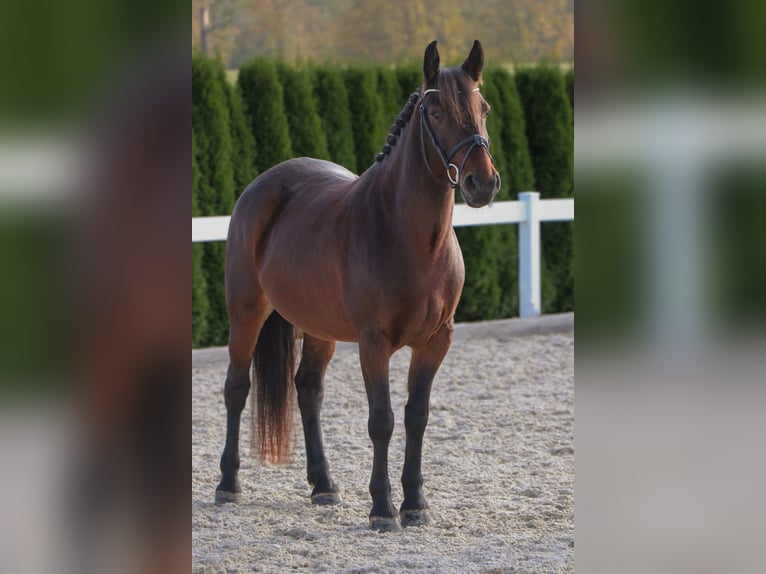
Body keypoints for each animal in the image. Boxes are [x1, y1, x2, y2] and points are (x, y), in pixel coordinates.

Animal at [218, 40, 504, 532]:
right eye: (436, 111)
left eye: (483, 108)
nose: (481, 183)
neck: (409, 237)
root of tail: (262, 185)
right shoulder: (374, 343)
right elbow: (381, 421)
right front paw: (383, 509)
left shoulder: (437, 341)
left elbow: (416, 417)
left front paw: (415, 504)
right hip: (247, 313)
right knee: (237, 388)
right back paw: (227, 484)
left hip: (319, 329)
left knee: (308, 390)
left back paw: (324, 485)